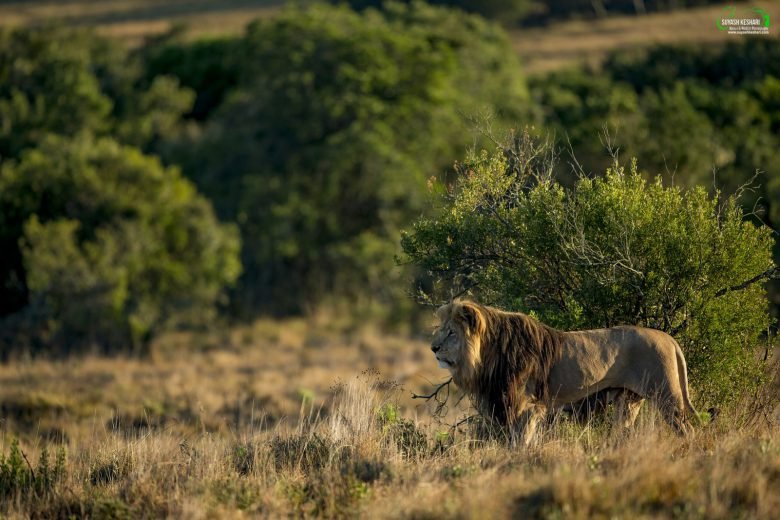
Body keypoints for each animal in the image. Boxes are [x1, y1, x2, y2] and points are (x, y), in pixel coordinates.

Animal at [431, 300, 700, 445]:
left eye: (451, 332)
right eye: (441, 329)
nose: (433, 348)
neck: (488, 353)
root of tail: (668, 338)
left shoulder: (526, 406)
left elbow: (520, 443)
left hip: (667, 396)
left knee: (688, 430)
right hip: (628, 400)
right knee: (624, 431)